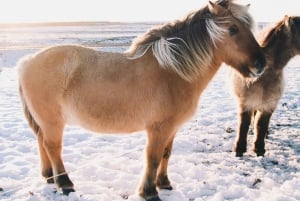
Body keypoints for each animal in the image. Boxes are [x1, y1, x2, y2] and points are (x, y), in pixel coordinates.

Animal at [18, 0, 264, 200]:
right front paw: (149, 192)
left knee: (41, 142)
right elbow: (153, 158)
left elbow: (166, 154)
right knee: (52, 147)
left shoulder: (171, 128)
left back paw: (49, 177)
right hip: (53, 123)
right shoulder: (158, 129)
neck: (172, 72)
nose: (261, 63)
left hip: (45, 123)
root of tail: (27, 62)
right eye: (233, 29)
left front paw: (164, 183)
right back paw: (65, 183)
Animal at [232, 15, 300, 157]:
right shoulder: (245, 101)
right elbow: (243, 124)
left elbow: (261, 124)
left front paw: (259, 149)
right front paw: (239, 149)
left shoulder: (269, 103)